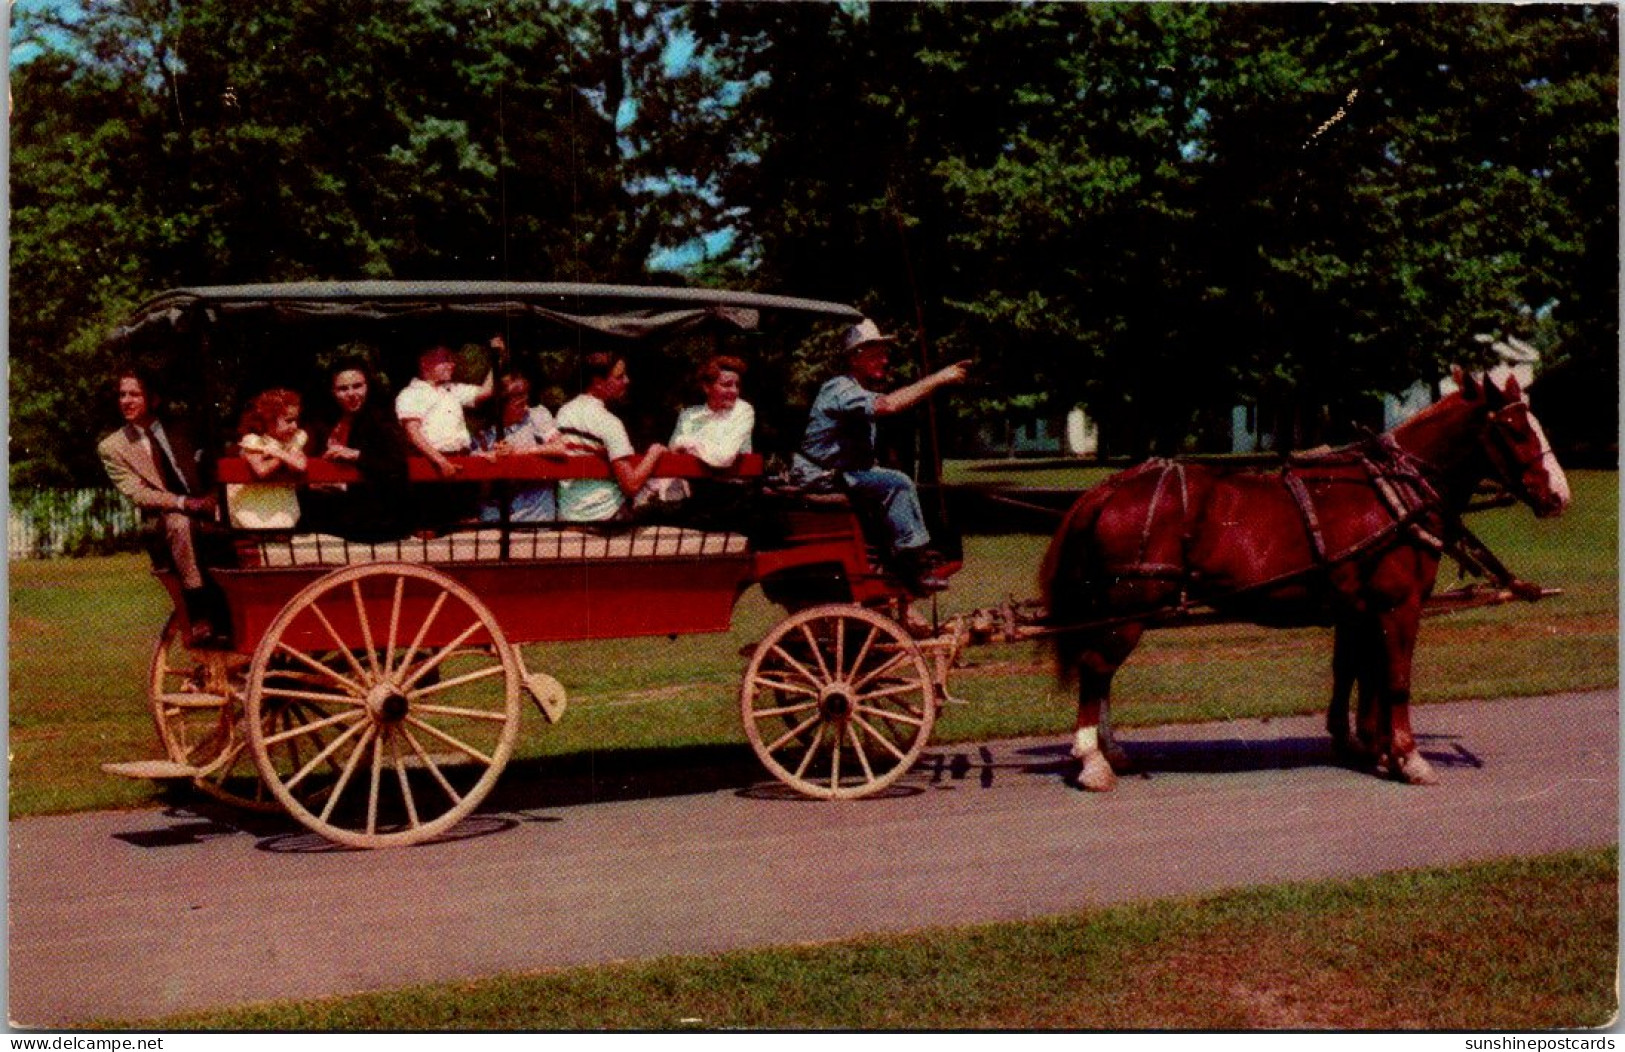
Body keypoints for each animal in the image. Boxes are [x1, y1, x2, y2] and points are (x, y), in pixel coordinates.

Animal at [1046, 370, 1566, 790]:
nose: (1559, 495)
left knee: (1101, 672)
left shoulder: (1360, 609)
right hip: (1129, 607)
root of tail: (1107, 488)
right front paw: (1408, 756)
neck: (1393, 494)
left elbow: (1357, 672)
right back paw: (1093, 760)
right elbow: (1395, 677)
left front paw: (1368, 745)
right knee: (1096, 667)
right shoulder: (1398, 606)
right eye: (1516, 430)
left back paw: (1112, 751)